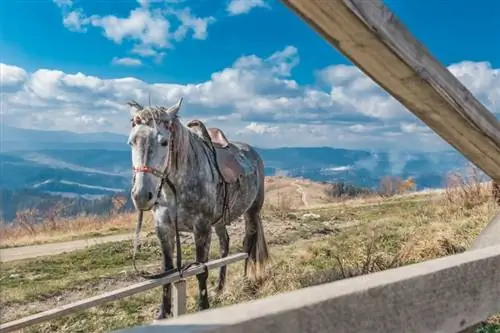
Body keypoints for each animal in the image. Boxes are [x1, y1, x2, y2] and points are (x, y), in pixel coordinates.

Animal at [127, 97, 272, 318]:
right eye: (132, 141)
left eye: (164, 142)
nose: (141, 196)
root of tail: (253, 153)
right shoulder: (164, 228)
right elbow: (167, 271)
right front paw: (163, 313)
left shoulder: (202, 229)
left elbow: (201, 270)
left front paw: (203, 306)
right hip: (220, 220)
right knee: (225, 244)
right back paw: (220, 287)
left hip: (252, 212)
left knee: (248, 244)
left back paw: (246, 280)